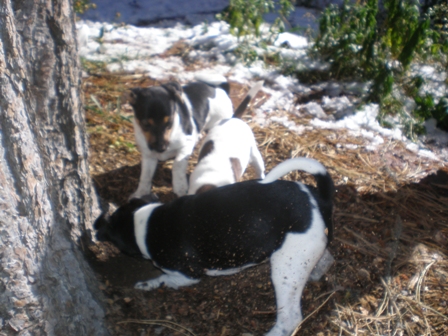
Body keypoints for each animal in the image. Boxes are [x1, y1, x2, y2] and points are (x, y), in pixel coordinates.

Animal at [93, 158, 332, 336]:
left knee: (290, 318)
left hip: (286, 270)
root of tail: (317, 197)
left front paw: (147, 284)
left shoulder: (188, 275)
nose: (96, 227)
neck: (145, 224)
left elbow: (163, 278)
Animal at [125, 77, 262, 198]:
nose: (160, 149)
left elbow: (177, 166)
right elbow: (145, 176)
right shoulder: (148, 154)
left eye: (169, 122)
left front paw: (179, 187)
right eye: (145, 124)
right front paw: (140, 193)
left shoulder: (185, 146)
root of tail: (220, 89)